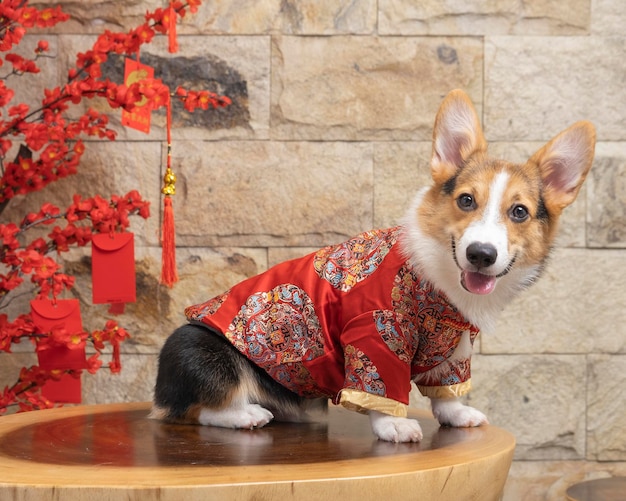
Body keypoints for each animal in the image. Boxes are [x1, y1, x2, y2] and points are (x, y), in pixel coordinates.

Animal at [149, 90, 592, 442]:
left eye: (519, 212)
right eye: (466, 200)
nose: (481, 254)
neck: (438, 281)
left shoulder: (455, 348)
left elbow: (447, 392)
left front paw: (458, 414)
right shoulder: (376, 334)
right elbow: (383, 390)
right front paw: (393, 425)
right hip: (199, 350)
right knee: (194, 410)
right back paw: (245, 415)